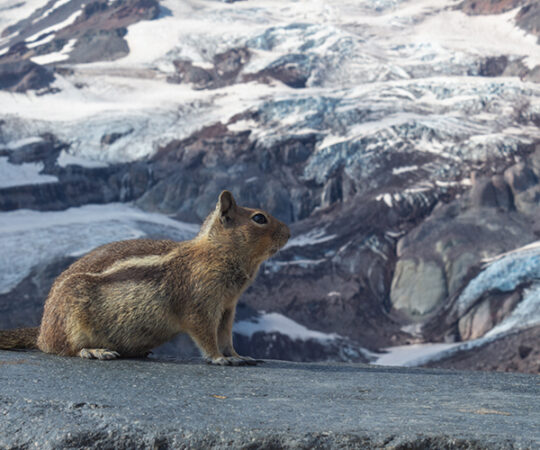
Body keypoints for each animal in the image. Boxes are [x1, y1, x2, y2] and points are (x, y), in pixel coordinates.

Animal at [0, 191, 292, 366]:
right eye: (259, 218)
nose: (289, 232)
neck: (215, 252)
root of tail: (42, 333)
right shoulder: (199, 302)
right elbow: (206, 335)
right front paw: (219, 358)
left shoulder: (227, 308)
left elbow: (226, 336)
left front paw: (238, 355)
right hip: (71, 320)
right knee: (64, 348)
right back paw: (95, 351)